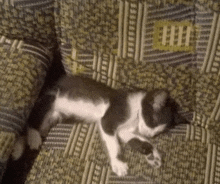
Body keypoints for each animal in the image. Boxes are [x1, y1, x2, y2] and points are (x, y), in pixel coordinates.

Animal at [10, 75, 189, 177]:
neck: (136, 110)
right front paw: (118, 164)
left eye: (158, 132)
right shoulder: (109, 119)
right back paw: (32, 138)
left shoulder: (126, 130)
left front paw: (152, 154)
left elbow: (132, 138)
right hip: (50, 97)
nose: (149, 133)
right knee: (32, 119)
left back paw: (20, 146)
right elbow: (114, 144)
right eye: (152, 119)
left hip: (54, 117)